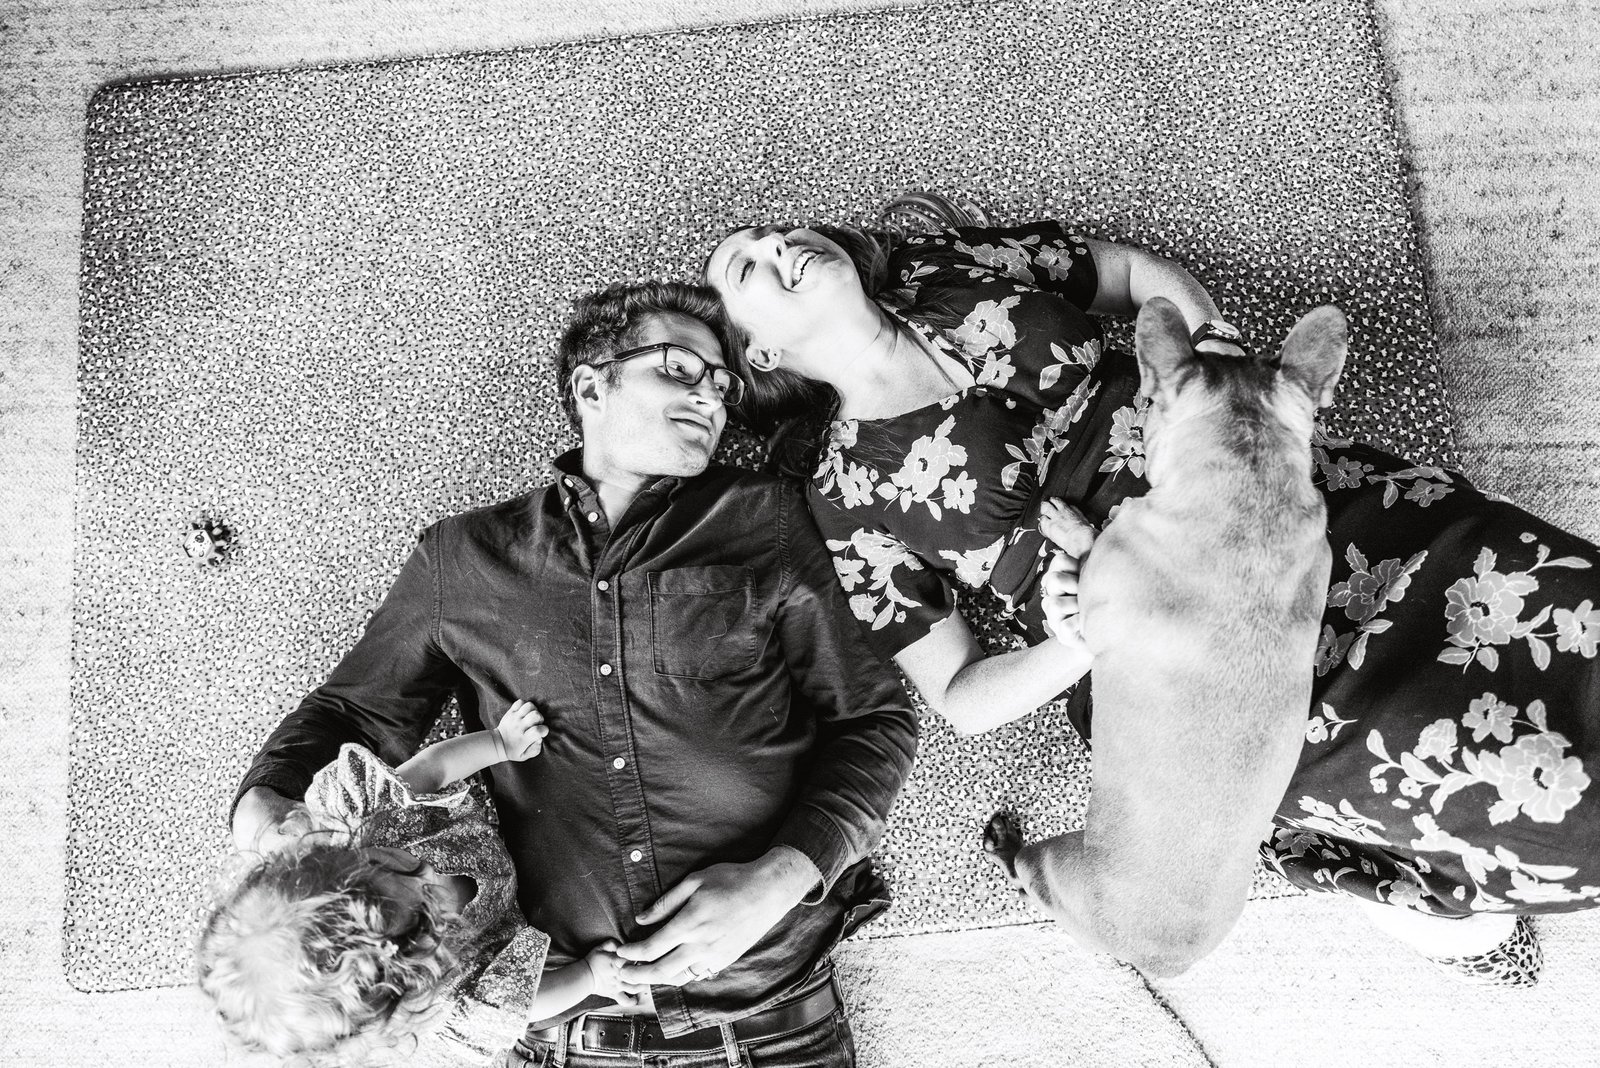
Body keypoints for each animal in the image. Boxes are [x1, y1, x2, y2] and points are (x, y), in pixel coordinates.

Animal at [983, 297, 1346, 976]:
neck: (1249, 486)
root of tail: (1150, 956)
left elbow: (1087, 550)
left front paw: (1068, 526)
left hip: (1056, 866)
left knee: (1026, 869)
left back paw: (1006, 844)